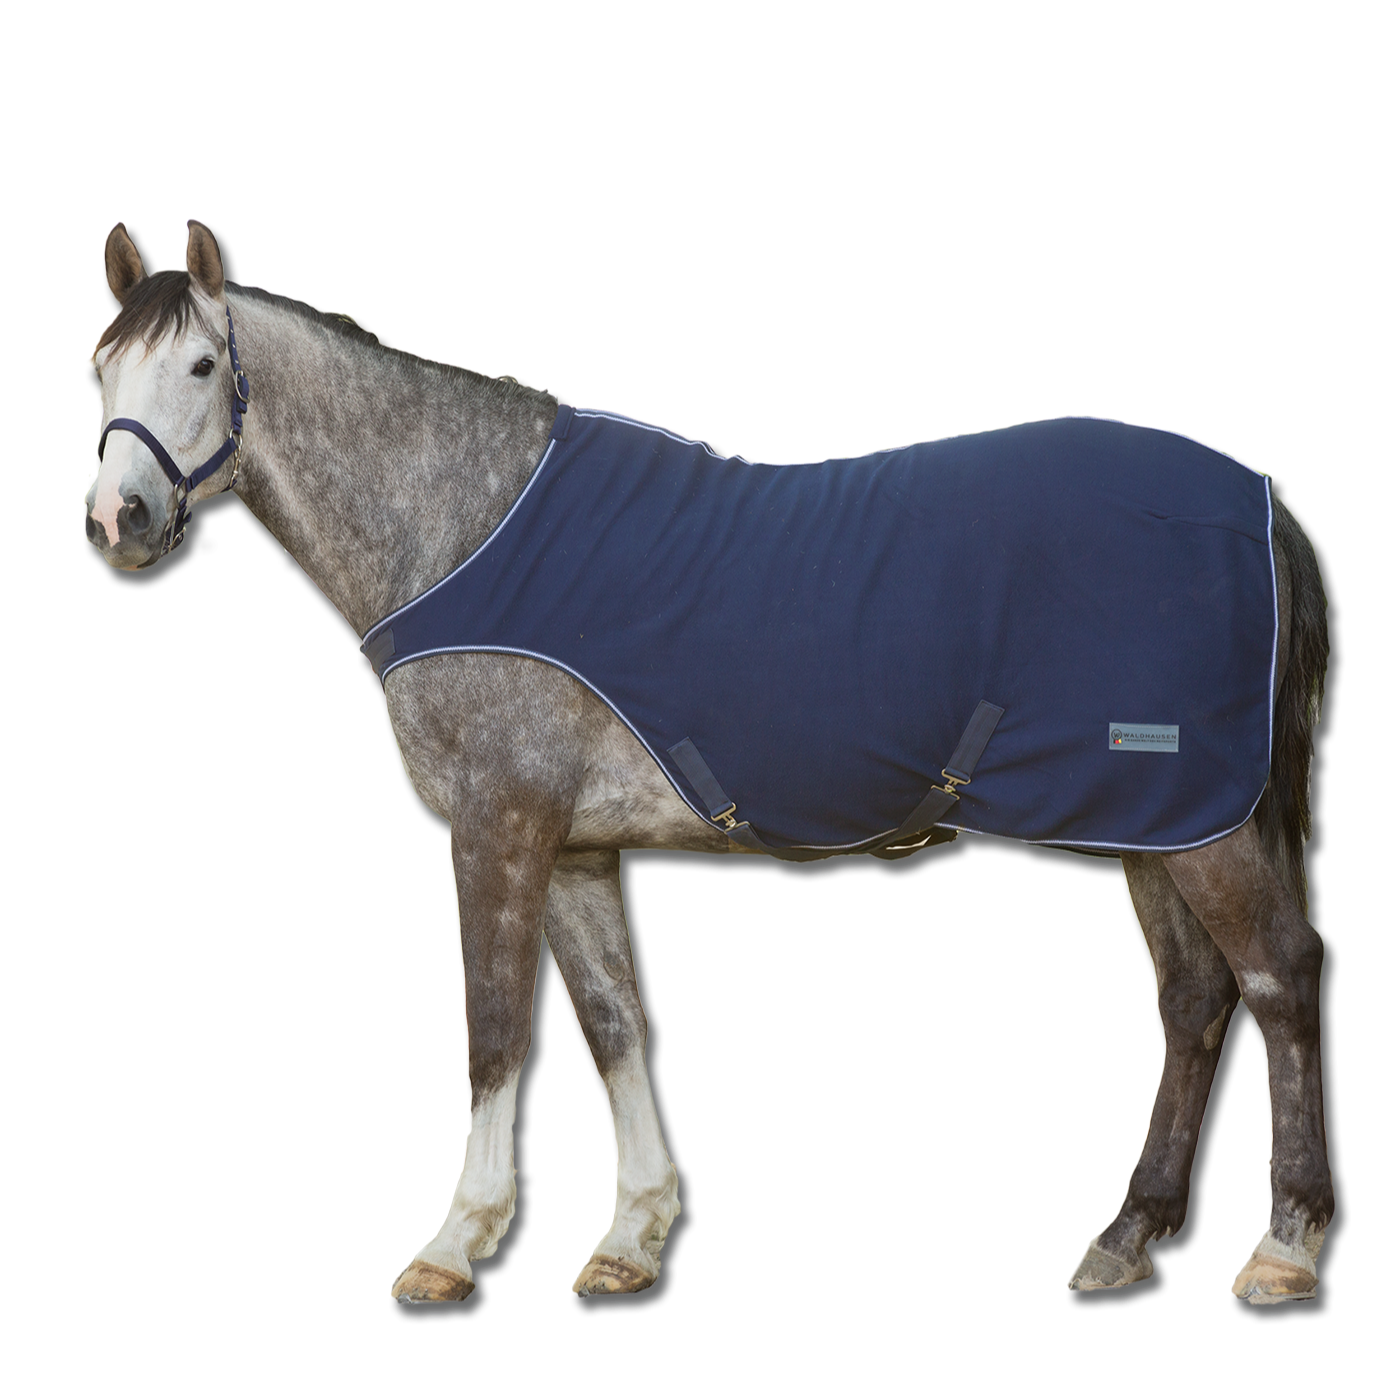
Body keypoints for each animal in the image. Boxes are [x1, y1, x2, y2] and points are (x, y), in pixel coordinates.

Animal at [83, 220, 1335, 1307]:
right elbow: (611, 1021)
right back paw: (1124, 1233)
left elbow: (495, 1026)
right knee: (1192, 999)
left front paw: (453, 1243)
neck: (459, 524)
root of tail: (1257, 502)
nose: (116, 519)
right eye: (100, 371)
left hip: (1203, 823)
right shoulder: (573, 844)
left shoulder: (499, 824)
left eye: (201, 362)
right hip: (1154, 823)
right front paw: (629, 1235)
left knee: (1277, 976)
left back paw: (1282, 1245)